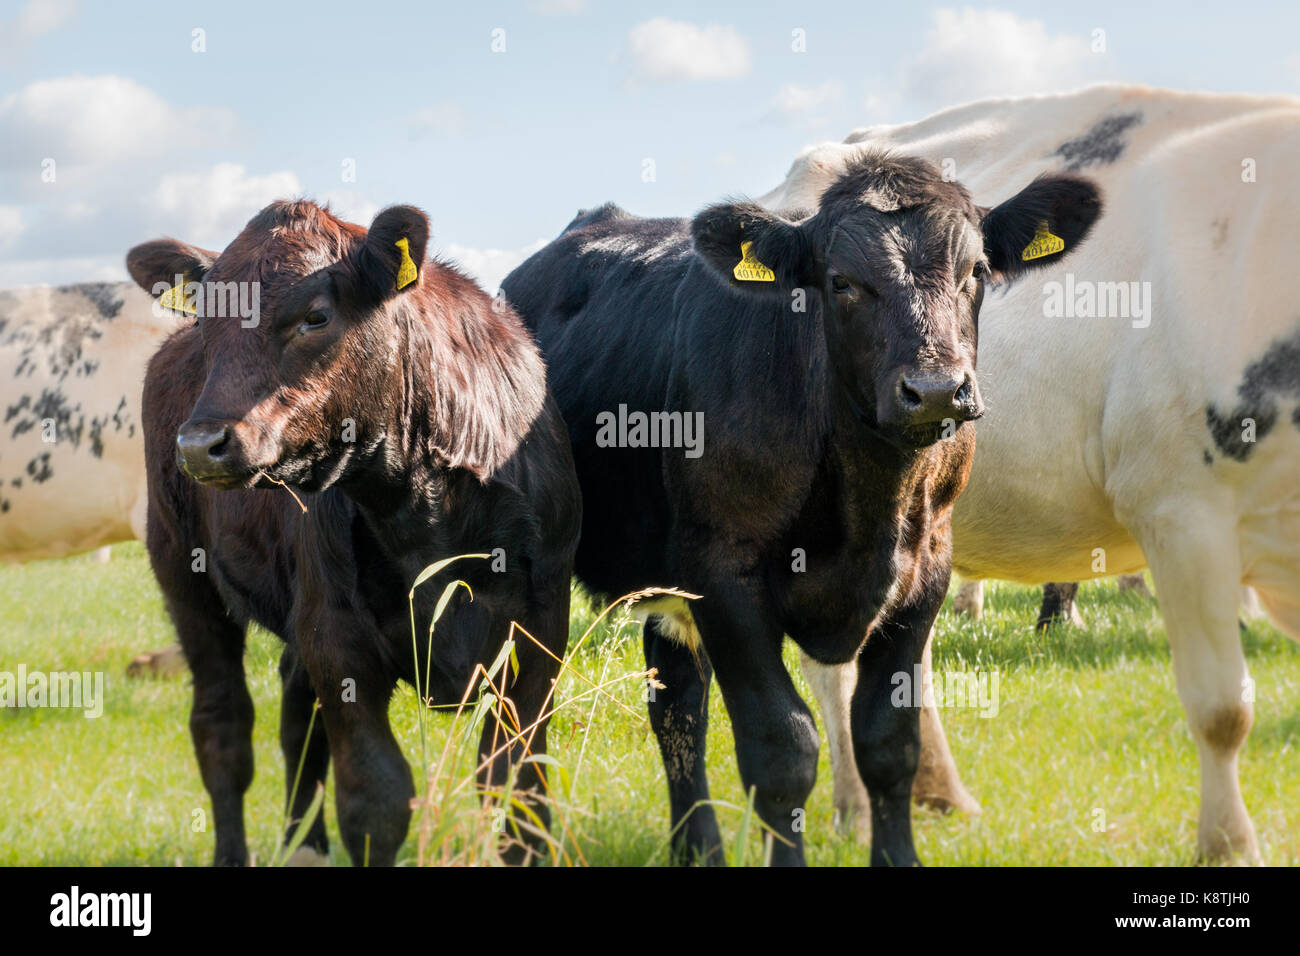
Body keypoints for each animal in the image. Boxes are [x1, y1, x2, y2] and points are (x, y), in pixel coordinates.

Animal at [769, 82, 1300, 863]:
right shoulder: (1179, 508)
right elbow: (1221, 709)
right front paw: (1230, 846)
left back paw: (942, 793)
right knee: (834, 664)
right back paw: (856, 811)